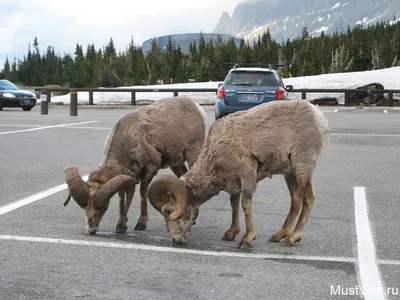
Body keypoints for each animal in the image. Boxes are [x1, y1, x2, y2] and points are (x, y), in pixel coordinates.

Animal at [63, 95, 206, 234]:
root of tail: (194, 104)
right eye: (84, 208)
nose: (91, 229)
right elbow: (122, 197)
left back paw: (192, 220)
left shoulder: (150, 167)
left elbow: (143, 192)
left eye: (105, 207)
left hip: (193, 153)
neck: (130, 139)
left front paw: (141, 224)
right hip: (175, 163)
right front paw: (121, 226)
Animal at [146, 100, 328, 248]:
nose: (176, 240)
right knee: (295, 200)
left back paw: (292, 238)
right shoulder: (233, 183)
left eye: (169, 211)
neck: (215, 153)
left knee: (308, 199)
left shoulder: (247, 176)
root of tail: (318, 116)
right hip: (289, 173)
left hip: (302, 168)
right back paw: (278, 235)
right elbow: (234, 204)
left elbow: (245, 204)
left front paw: (247, 239)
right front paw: (231, 233)